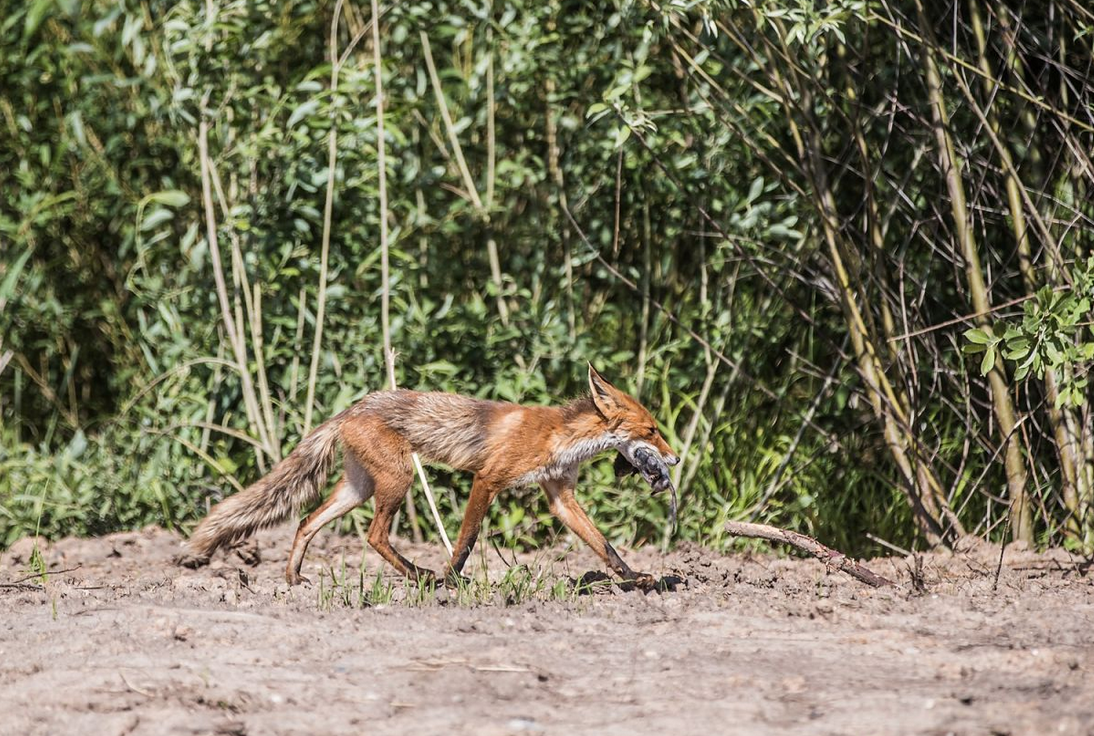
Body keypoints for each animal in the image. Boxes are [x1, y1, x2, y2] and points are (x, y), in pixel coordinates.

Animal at [181, 365, 673, 590]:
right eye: (652, 430)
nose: (675, 460)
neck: (558, 437)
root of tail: (351, 408)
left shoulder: (560, 496)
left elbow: (604, 545)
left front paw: (636, 579)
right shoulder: (487, 479)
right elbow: (467, 540)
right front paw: (453, 580)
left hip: (359, 487)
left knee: (306, 522)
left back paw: (292, 577)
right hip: (397, 480)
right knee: (375, 536)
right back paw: (422, 577)